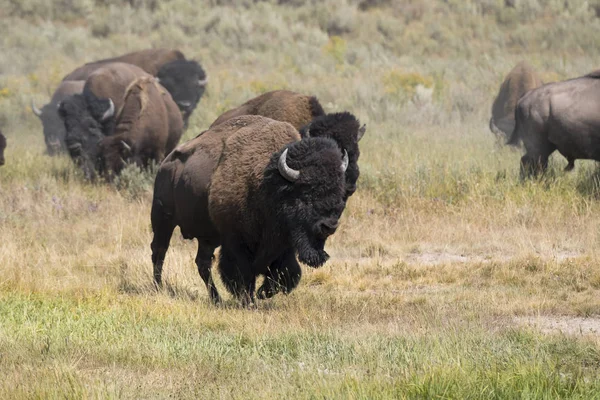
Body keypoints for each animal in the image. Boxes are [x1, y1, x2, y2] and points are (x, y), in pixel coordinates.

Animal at [150, 115, 346, 304]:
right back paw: (158, 287)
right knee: (159, 251)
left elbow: (286, 273)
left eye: (339, 191)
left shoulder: (282, 246)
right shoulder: (237, 242)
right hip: (163, 219)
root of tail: (166, 164)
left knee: (202, 263)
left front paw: (262, 293)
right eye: (306, 192)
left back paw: (216, 299)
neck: (269, 185)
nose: (329, 226)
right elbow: (242, 273)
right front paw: (249, 299)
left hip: (207, 237)